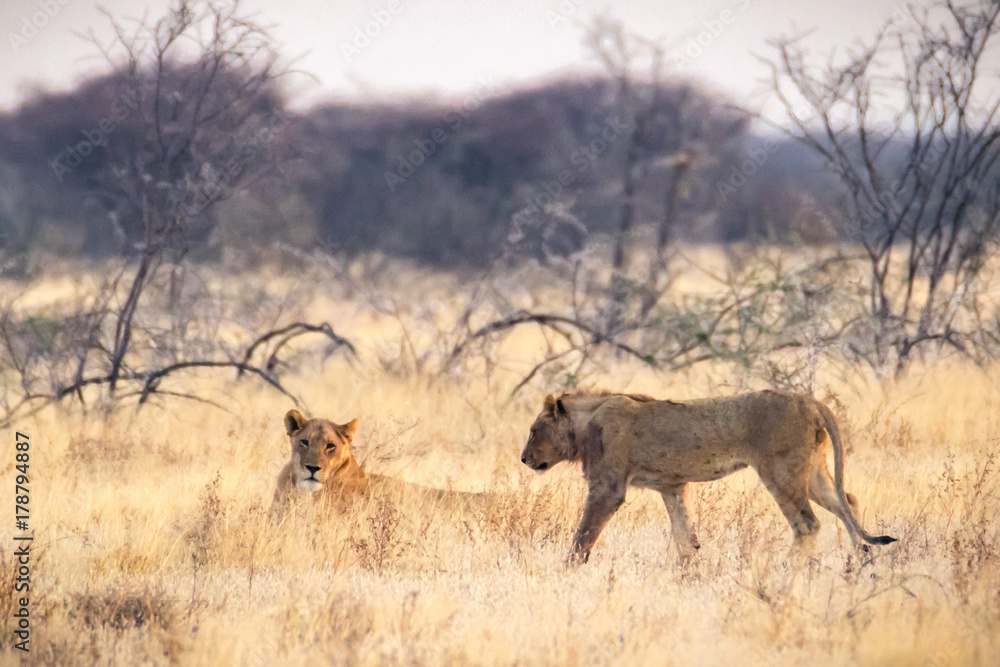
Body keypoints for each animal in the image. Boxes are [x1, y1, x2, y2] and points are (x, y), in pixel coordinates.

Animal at [524, 388, 900, 568]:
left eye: (533, 430)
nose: (524, 458)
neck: (585, 424)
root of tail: (810, 401)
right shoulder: (672, 485)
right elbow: (684, 536)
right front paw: (691, 574)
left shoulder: (608, 488)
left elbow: (583, 537)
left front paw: (567, 573)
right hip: (813, 474)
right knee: (847, 501)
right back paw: (863, 559)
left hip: (781, 473)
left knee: (808, 524)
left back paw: (786, 569)